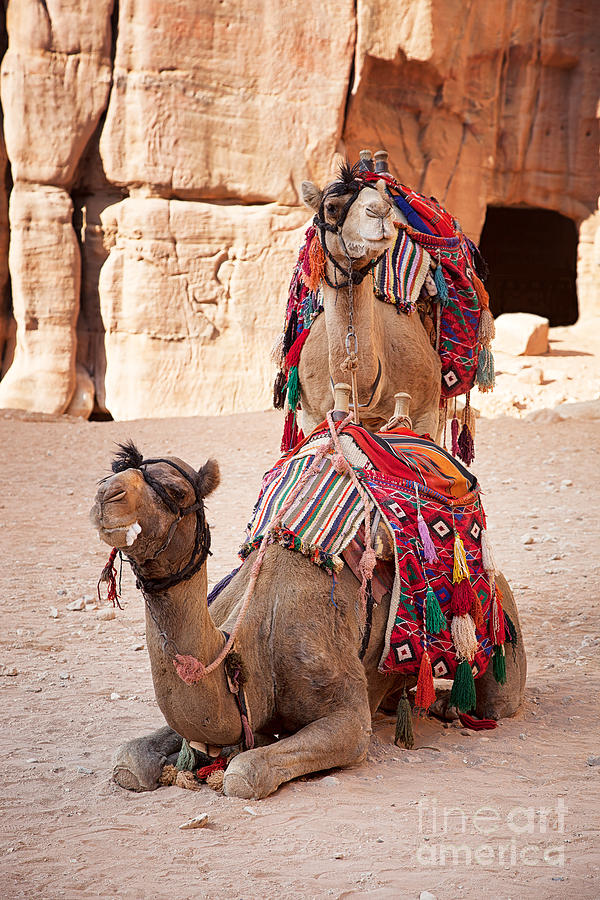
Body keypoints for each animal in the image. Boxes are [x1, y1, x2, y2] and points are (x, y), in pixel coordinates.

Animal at [90, 440, 524, 800]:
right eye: (115, 471)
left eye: (177, 491)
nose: (106, 494)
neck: (250, 650)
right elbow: (129, 760)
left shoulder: (348, 718)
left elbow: (243, 774)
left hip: (498, 618)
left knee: (497, 701)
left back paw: (450, 705)